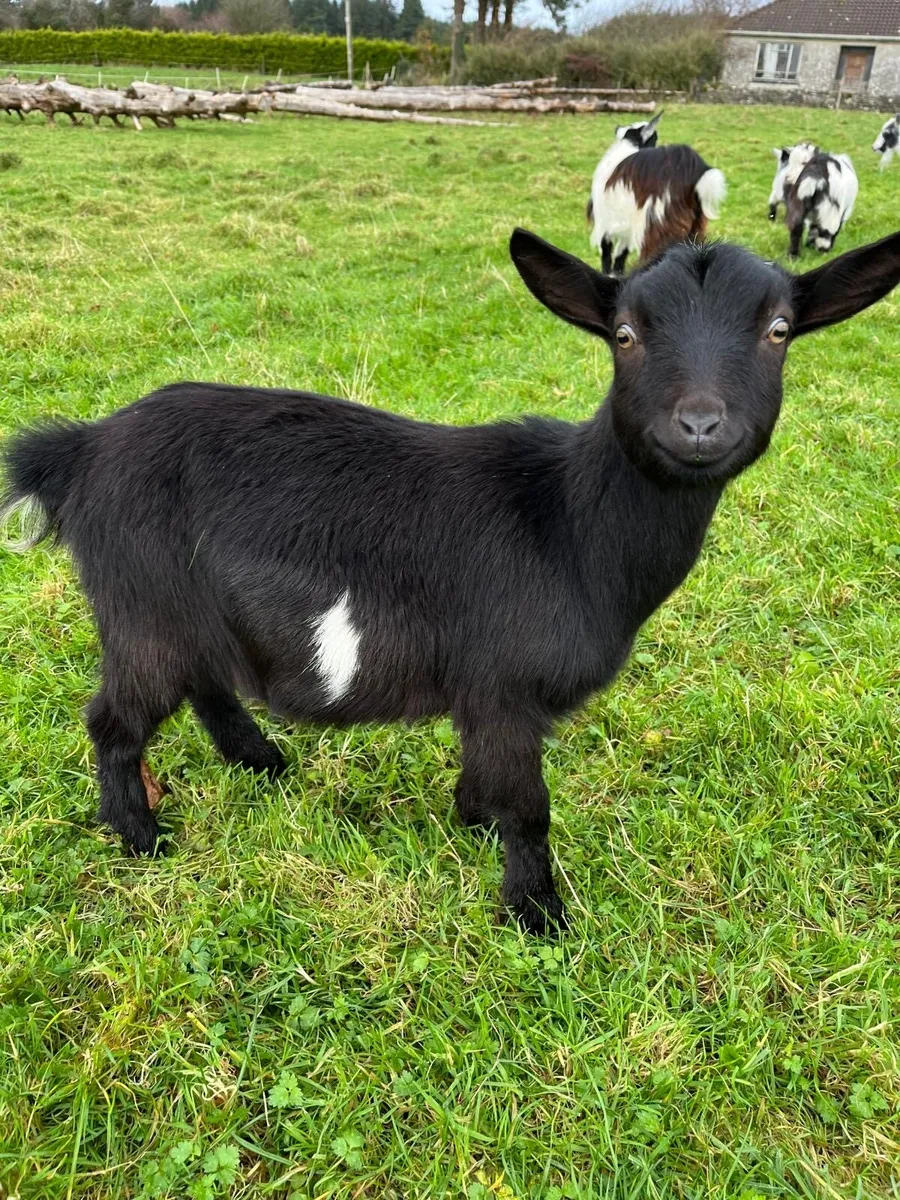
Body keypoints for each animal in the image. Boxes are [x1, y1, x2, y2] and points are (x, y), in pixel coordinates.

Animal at [4, 230, 900, 934]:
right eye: (624, 333)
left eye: (780, 330)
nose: (701, 425)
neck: (569, 524)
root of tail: (81, 451)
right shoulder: (506, 686)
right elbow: (530, 808)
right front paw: (538, 916)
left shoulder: (482, 691)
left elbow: (485, 781)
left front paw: (470, 826)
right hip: (143, 602)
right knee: (115, 720)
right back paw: (140, 836)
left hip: (185, 610)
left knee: (207, 683)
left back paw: (262, 763)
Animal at [587, 111, 726, 274]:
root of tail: (696, 171)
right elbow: (620, 253)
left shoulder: (606, 219)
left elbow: (608, 253)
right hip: (695, 223)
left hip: (657, 220)